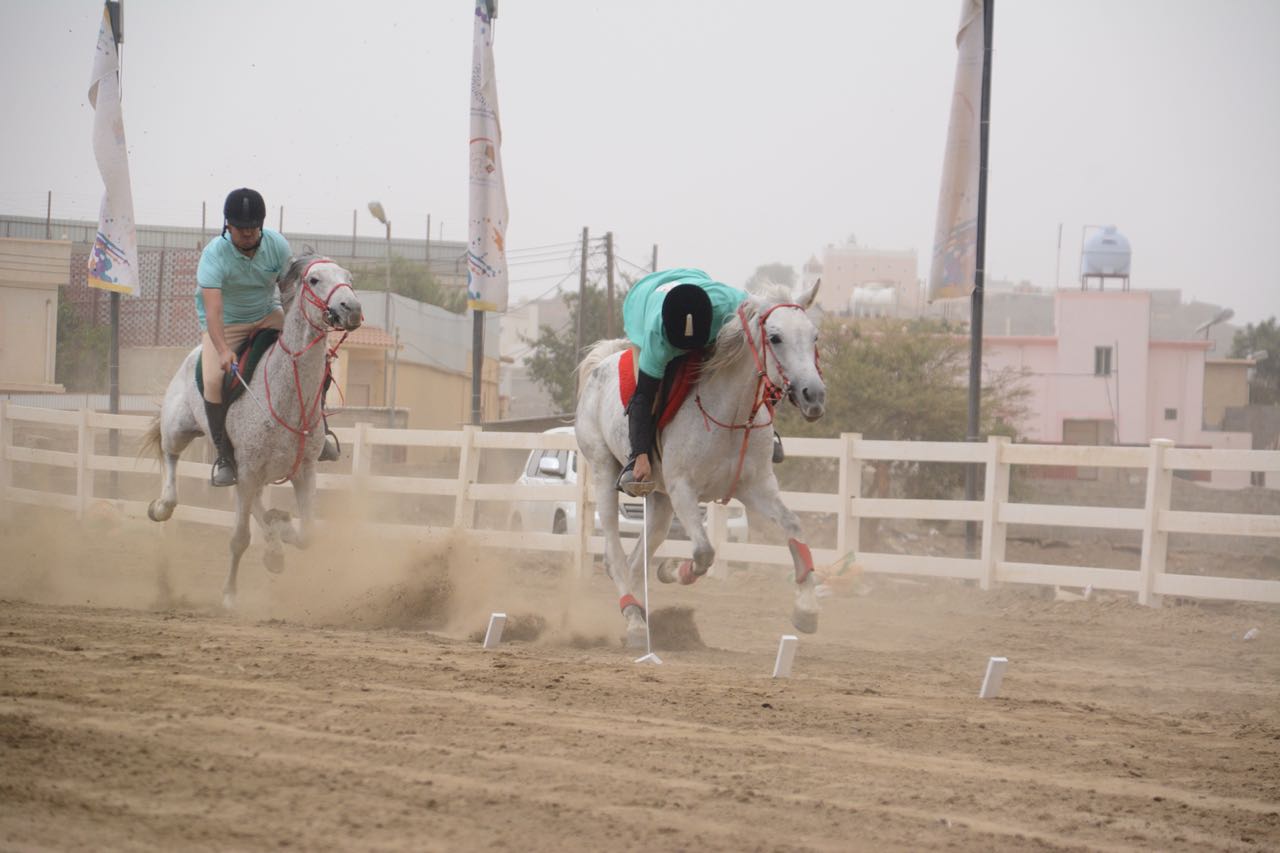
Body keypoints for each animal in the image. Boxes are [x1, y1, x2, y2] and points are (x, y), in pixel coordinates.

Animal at [142, 252, 363, 604]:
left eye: (348, 278)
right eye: (314, 280)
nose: (351, 308)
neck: (288, 396)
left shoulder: (304, 471)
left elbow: (307, 534)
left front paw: (281, 531)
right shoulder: (246, 469)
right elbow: (240, 538)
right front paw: (230, 595)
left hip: (253, 473)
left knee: (257, 504)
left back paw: (274, 541)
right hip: (180, 430)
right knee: (170, 459)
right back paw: (161, 506)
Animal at [576, 279, 824, 645]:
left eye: (814, 336)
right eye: (775, 337)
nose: (814, 395)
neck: (730, 412)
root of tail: (602, 362)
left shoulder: (757, 487)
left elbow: (793, 527)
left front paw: (806, 609)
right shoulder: (684, 489)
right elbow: (704, 551)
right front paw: (672, 570)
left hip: (660, 500)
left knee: (637, 559)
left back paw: (644, 617)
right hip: (605, 472)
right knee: (614, 555)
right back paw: (633, 619)